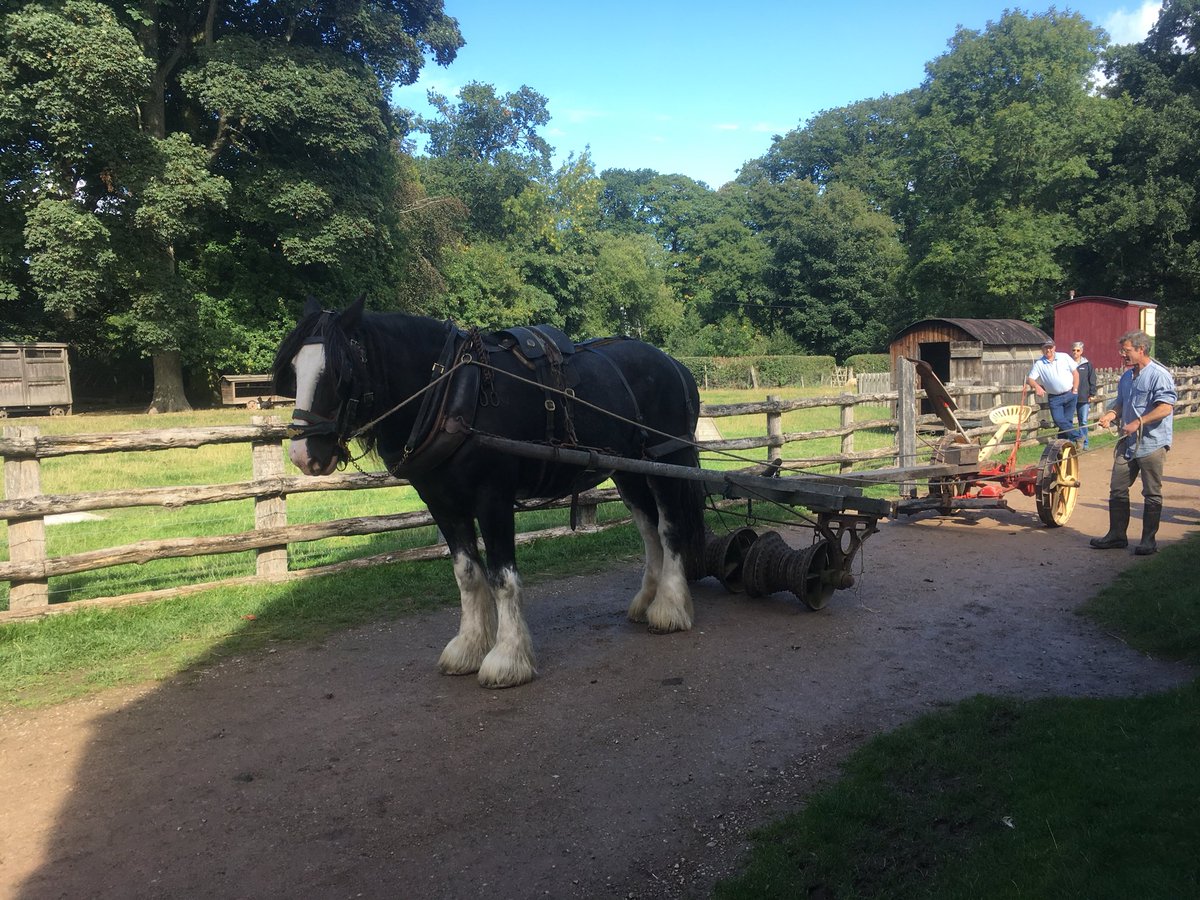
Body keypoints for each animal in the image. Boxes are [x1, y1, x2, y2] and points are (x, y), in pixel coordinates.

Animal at [276, 300, 705, 686]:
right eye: (295, 370)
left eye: (340, 369)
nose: (303, 454)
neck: (452, 392)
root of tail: (675, 365)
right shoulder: (443, 504)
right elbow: (467, 575)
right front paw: (468, 648)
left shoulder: (493, 498)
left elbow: (502, 577)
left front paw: (508, 659)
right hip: (629, 470)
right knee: (648, 529)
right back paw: (647, 600)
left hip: (669, 458)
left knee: (669, 528)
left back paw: (670, 607)